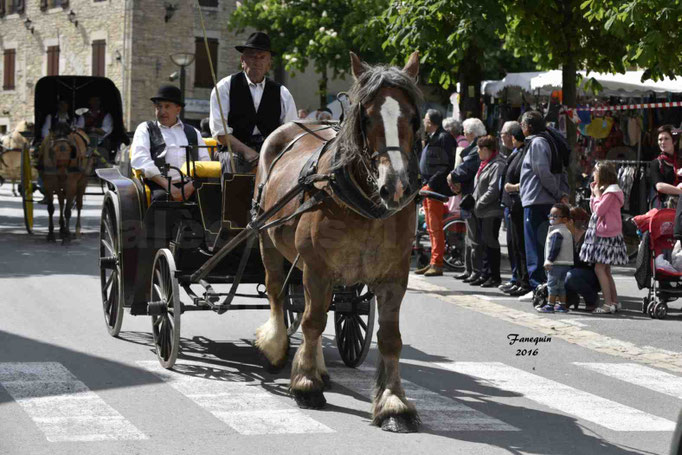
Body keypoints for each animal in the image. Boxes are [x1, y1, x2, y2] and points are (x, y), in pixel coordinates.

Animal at [252, 51, 422, 432]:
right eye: (367, 117)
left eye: (412, 118)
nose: (396, 186)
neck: (366, 206)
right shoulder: (317, 268)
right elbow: (312, 322)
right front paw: (305, 385)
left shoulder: (395, 276)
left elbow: (390, 338)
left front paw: (393, 404)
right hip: (268, 240)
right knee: (278, 294)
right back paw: (277, 347)